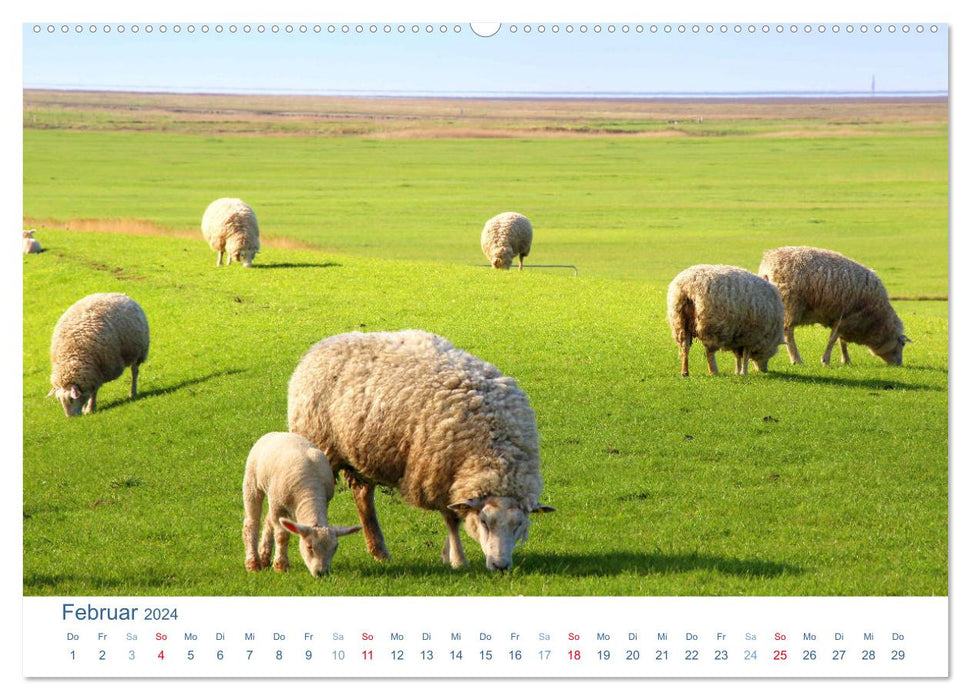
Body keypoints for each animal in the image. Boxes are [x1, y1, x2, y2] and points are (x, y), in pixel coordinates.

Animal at [241, 432, 362, 576]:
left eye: (335, 547)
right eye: (309, 547)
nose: (322, 573)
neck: (310, 491)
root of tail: (276, 433)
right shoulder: (278, 505)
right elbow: (282, 536)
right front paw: (281, 566)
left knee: (268, 520)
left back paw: (264, 557)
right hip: (252, 482)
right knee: (251, 523)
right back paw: (253, 564)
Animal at [286, 330, 556, 572]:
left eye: (519, 524)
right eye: (484, 522)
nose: (501, 566)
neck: (495, 448)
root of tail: (322, 345)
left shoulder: (453, 477)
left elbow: (455, 513)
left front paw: (448, 554)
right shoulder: (438, 473)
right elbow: (452, 520)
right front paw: (458, 559)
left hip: (359, 453)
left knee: (363, 497)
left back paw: (379, 550)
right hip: (321, 446)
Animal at [760, 246, 912, 366]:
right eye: (902, 344)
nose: (899, 364)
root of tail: (767, 266)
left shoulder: (841, 319)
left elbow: (841, 340)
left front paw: (846, 360)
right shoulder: (847, 317)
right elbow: (834, 339)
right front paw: (826, 361)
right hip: (790, 303)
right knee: (788, 333)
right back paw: (796, 359)